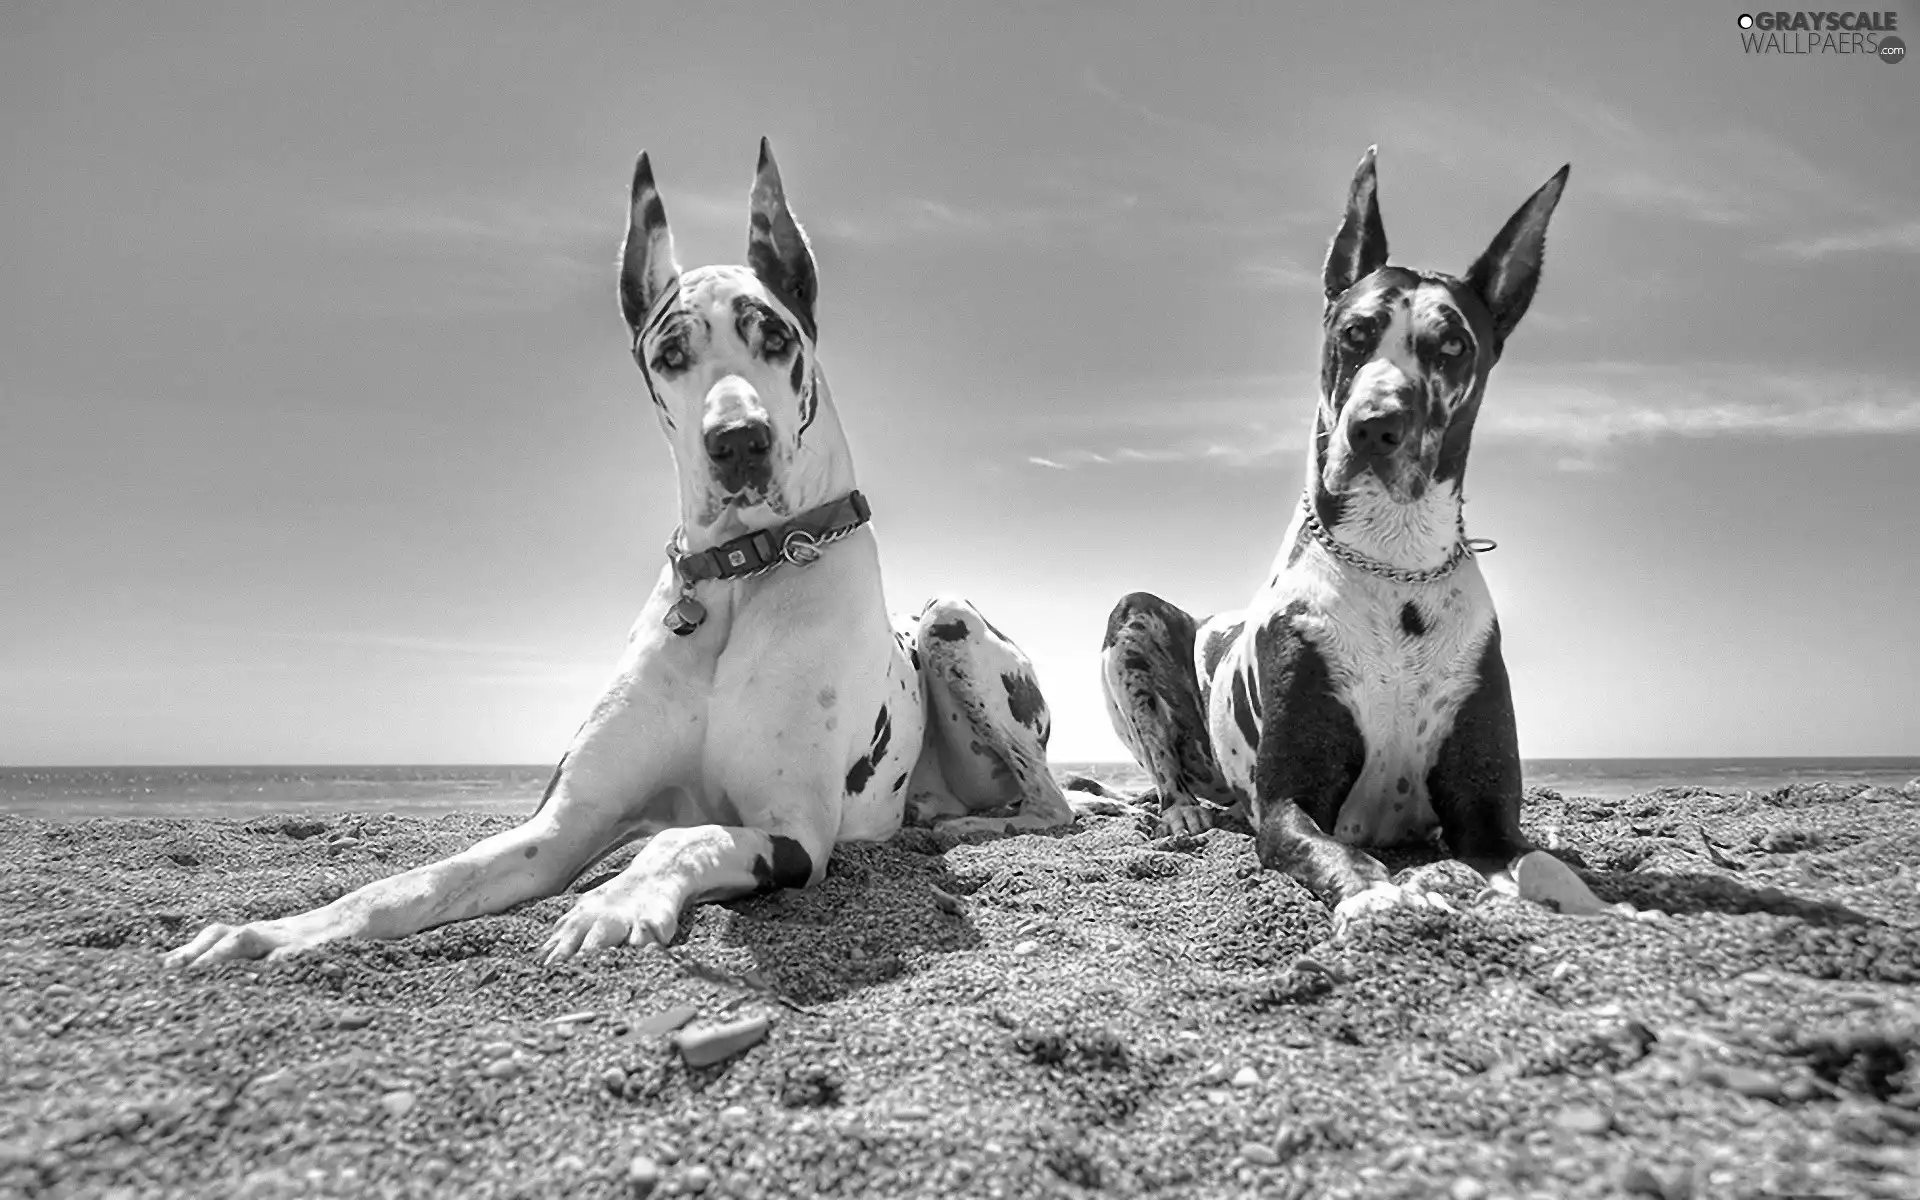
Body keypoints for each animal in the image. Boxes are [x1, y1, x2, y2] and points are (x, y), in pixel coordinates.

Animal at [1098, 147, 1635, 936]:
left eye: (1453, 344)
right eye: (1354, 333)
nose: (1375, 425)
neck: (1393, 559)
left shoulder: (1485, 819)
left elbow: (1542, 860)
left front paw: (1602, 906)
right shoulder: (1287, 805)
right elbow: (1341, 854)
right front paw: (1382, 899)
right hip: (1131, 623)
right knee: (1166, 767)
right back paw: (1181, 815)